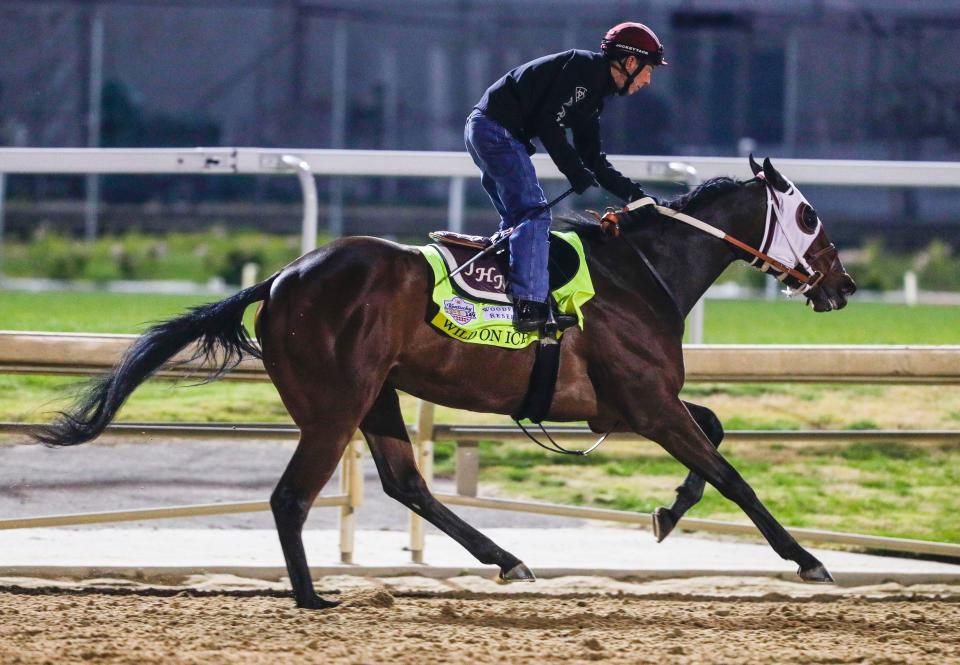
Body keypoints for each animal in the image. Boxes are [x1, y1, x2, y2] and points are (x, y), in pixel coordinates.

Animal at [31, 156, 856, 608]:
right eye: (810, 216)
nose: (843, 284)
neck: (642, 271)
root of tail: (283, 276)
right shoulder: (643, 404)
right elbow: (729, 470)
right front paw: (807, 559)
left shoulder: (623, 406)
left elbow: (712, 435)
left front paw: (667, 510)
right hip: (334, 405)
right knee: (292, 496)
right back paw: (312, 595)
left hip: (378, 396)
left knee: (405, 482)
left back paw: (506, 558)